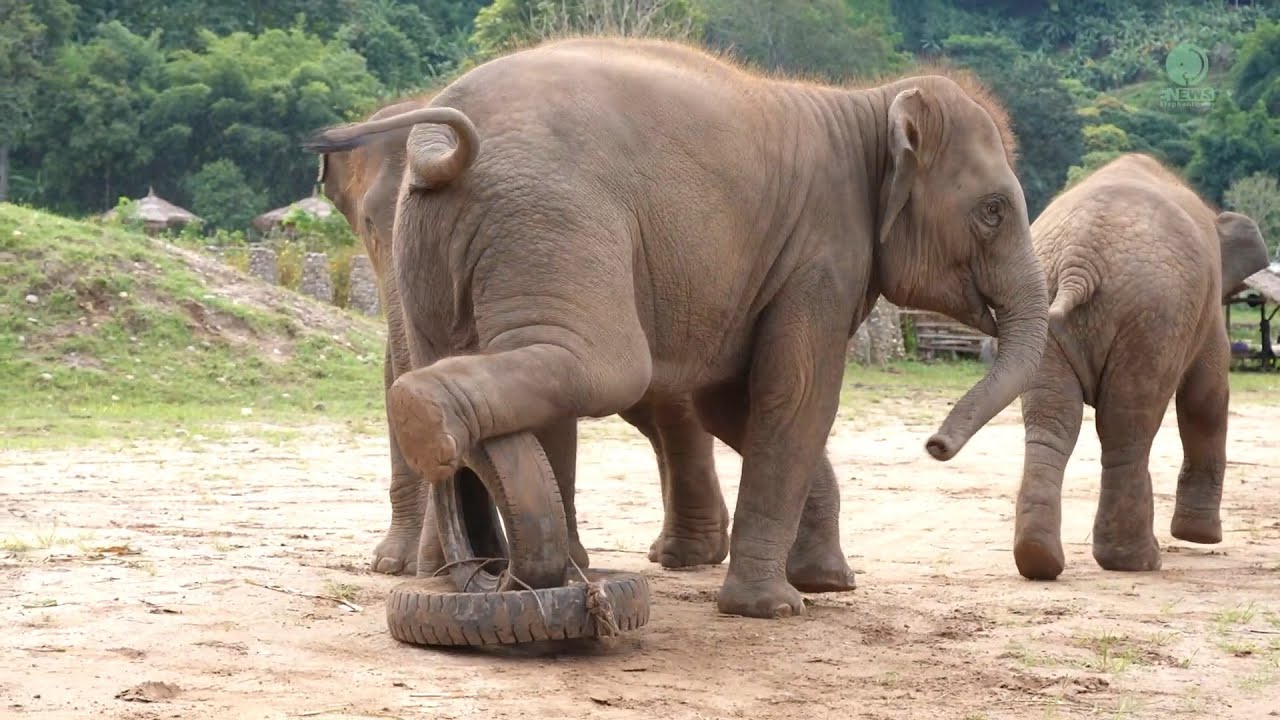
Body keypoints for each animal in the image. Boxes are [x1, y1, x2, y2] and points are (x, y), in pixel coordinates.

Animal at [1012, 153, 1270, 581]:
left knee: (1052, 421)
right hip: (1153, 314)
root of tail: (1079, 259)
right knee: (1128, 425)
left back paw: (1039, 561)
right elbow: (1207, 396)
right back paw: (1138, 562)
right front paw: (1201, 538)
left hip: (1042, 304)